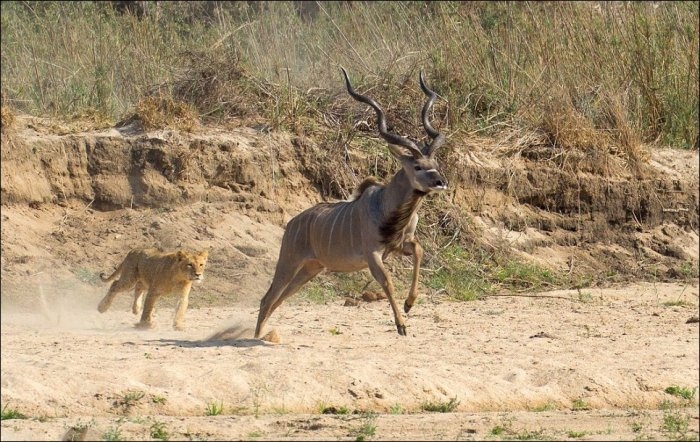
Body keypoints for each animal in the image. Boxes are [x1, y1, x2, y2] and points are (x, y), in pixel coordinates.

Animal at [254, 68, 446, 338]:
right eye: (418, 166)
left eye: (435, 164)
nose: (441, 182)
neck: (386, 207)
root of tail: (291, 224)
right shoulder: (373, 254)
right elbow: (387, 282)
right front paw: (401, 324)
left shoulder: (398, 245)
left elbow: (419, 250)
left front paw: (409, 305)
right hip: (289, 262)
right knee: (268, 298)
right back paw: (255, 336)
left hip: (311, 269)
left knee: (279, 298)